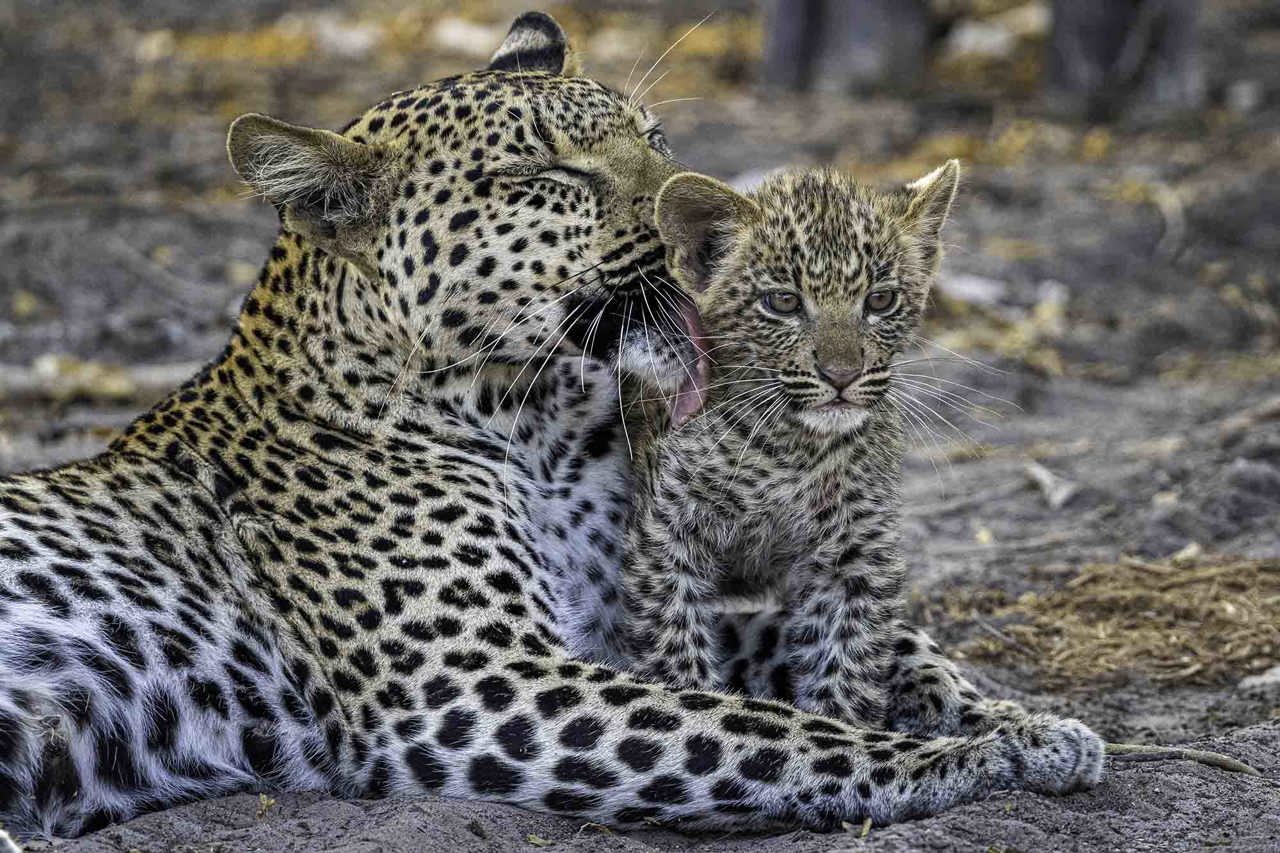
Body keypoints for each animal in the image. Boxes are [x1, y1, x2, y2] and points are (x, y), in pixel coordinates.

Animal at [0, 12, 1101, 840]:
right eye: (553, 178)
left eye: (653, 139)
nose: (703, 212)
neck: (533, 419)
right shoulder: (474, 682)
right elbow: (759, 728)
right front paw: (965, 754)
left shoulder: (616, 612)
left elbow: (853, 648)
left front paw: (1033, 724)